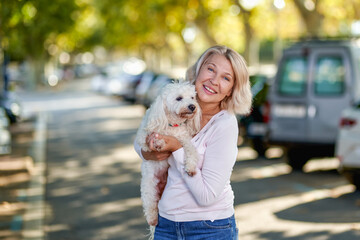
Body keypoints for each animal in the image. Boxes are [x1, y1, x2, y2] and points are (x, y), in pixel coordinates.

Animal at [136, 79, 202, 228]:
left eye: (192, 97)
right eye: (179, 98)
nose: (192, 106)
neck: (172, 125)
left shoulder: (184, 139)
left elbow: (191, 150)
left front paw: (190, 167)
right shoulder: (143, 136)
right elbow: (149, 139)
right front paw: (159, 142)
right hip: (148, 187)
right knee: (150, 205)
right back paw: (152, 218)